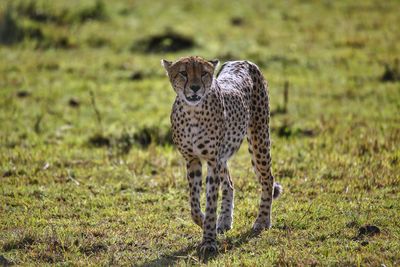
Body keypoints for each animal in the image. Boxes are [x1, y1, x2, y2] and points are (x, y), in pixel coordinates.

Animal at [162, 56, 282, 253]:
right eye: (183, 73)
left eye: (204, 73)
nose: (195, 87)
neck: (193, 111)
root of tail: (243, 61)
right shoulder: (193, 159)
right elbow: (194, 203)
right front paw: (205, 222)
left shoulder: (212, 160)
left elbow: (211, 201)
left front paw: (209, 240)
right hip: (224, 155)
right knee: (230, 184)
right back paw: (225, 220)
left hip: (259, 138)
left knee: (268, 179)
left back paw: (263, 220)